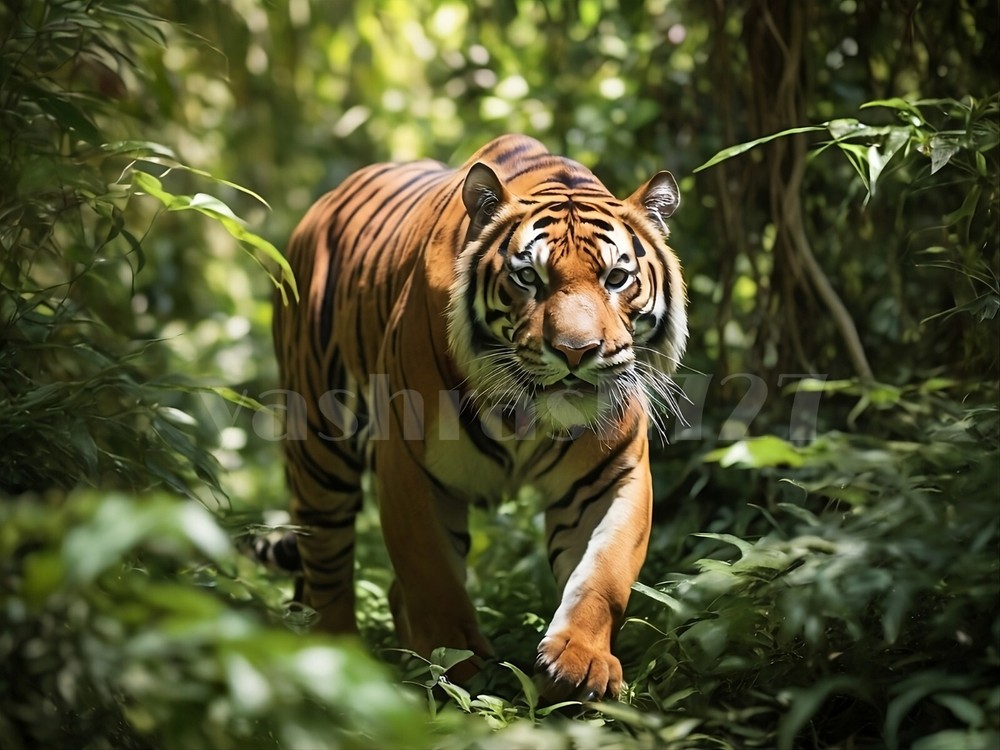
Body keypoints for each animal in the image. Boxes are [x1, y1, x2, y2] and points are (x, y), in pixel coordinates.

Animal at [269, 134, 687, 700]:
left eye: (617, 278)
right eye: (528, 277)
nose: (576, 352)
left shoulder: (611, 474)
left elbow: (604, 575)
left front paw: (579, 664)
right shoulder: (408, 467)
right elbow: (433, 580)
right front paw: (462, 673)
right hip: (319, 450)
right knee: (327, 568)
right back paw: (336, 662)